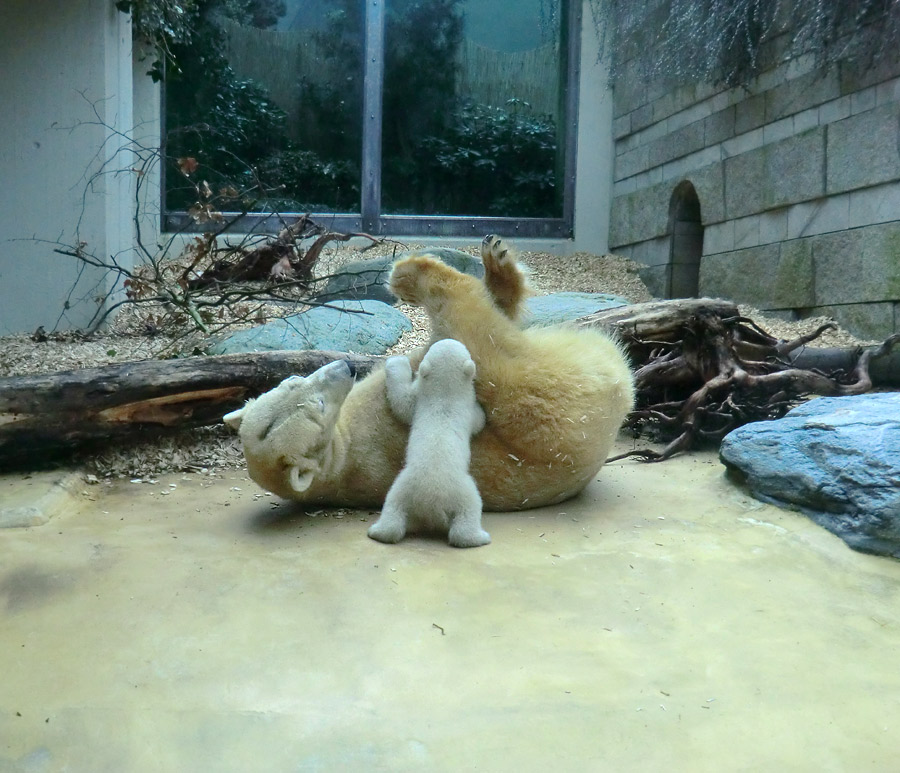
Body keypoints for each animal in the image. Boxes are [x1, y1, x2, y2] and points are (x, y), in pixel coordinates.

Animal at [224, 235, 632, 512]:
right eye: (319, 407)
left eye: (294, 383)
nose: (346, 367)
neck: (339, 459)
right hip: (544, 411)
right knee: (477, 335)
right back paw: (411, 273)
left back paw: (495, 259)